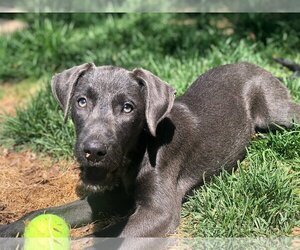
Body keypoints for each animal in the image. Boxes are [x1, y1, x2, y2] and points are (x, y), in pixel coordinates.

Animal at [0, 61, 300, 239]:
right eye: (81, 101)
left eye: (128, 107)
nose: (93, 151)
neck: (137, 151)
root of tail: (259, 68)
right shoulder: (113, 196)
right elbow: (42, 213)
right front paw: (8, 231)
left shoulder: (158, 212)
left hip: (278, 114)